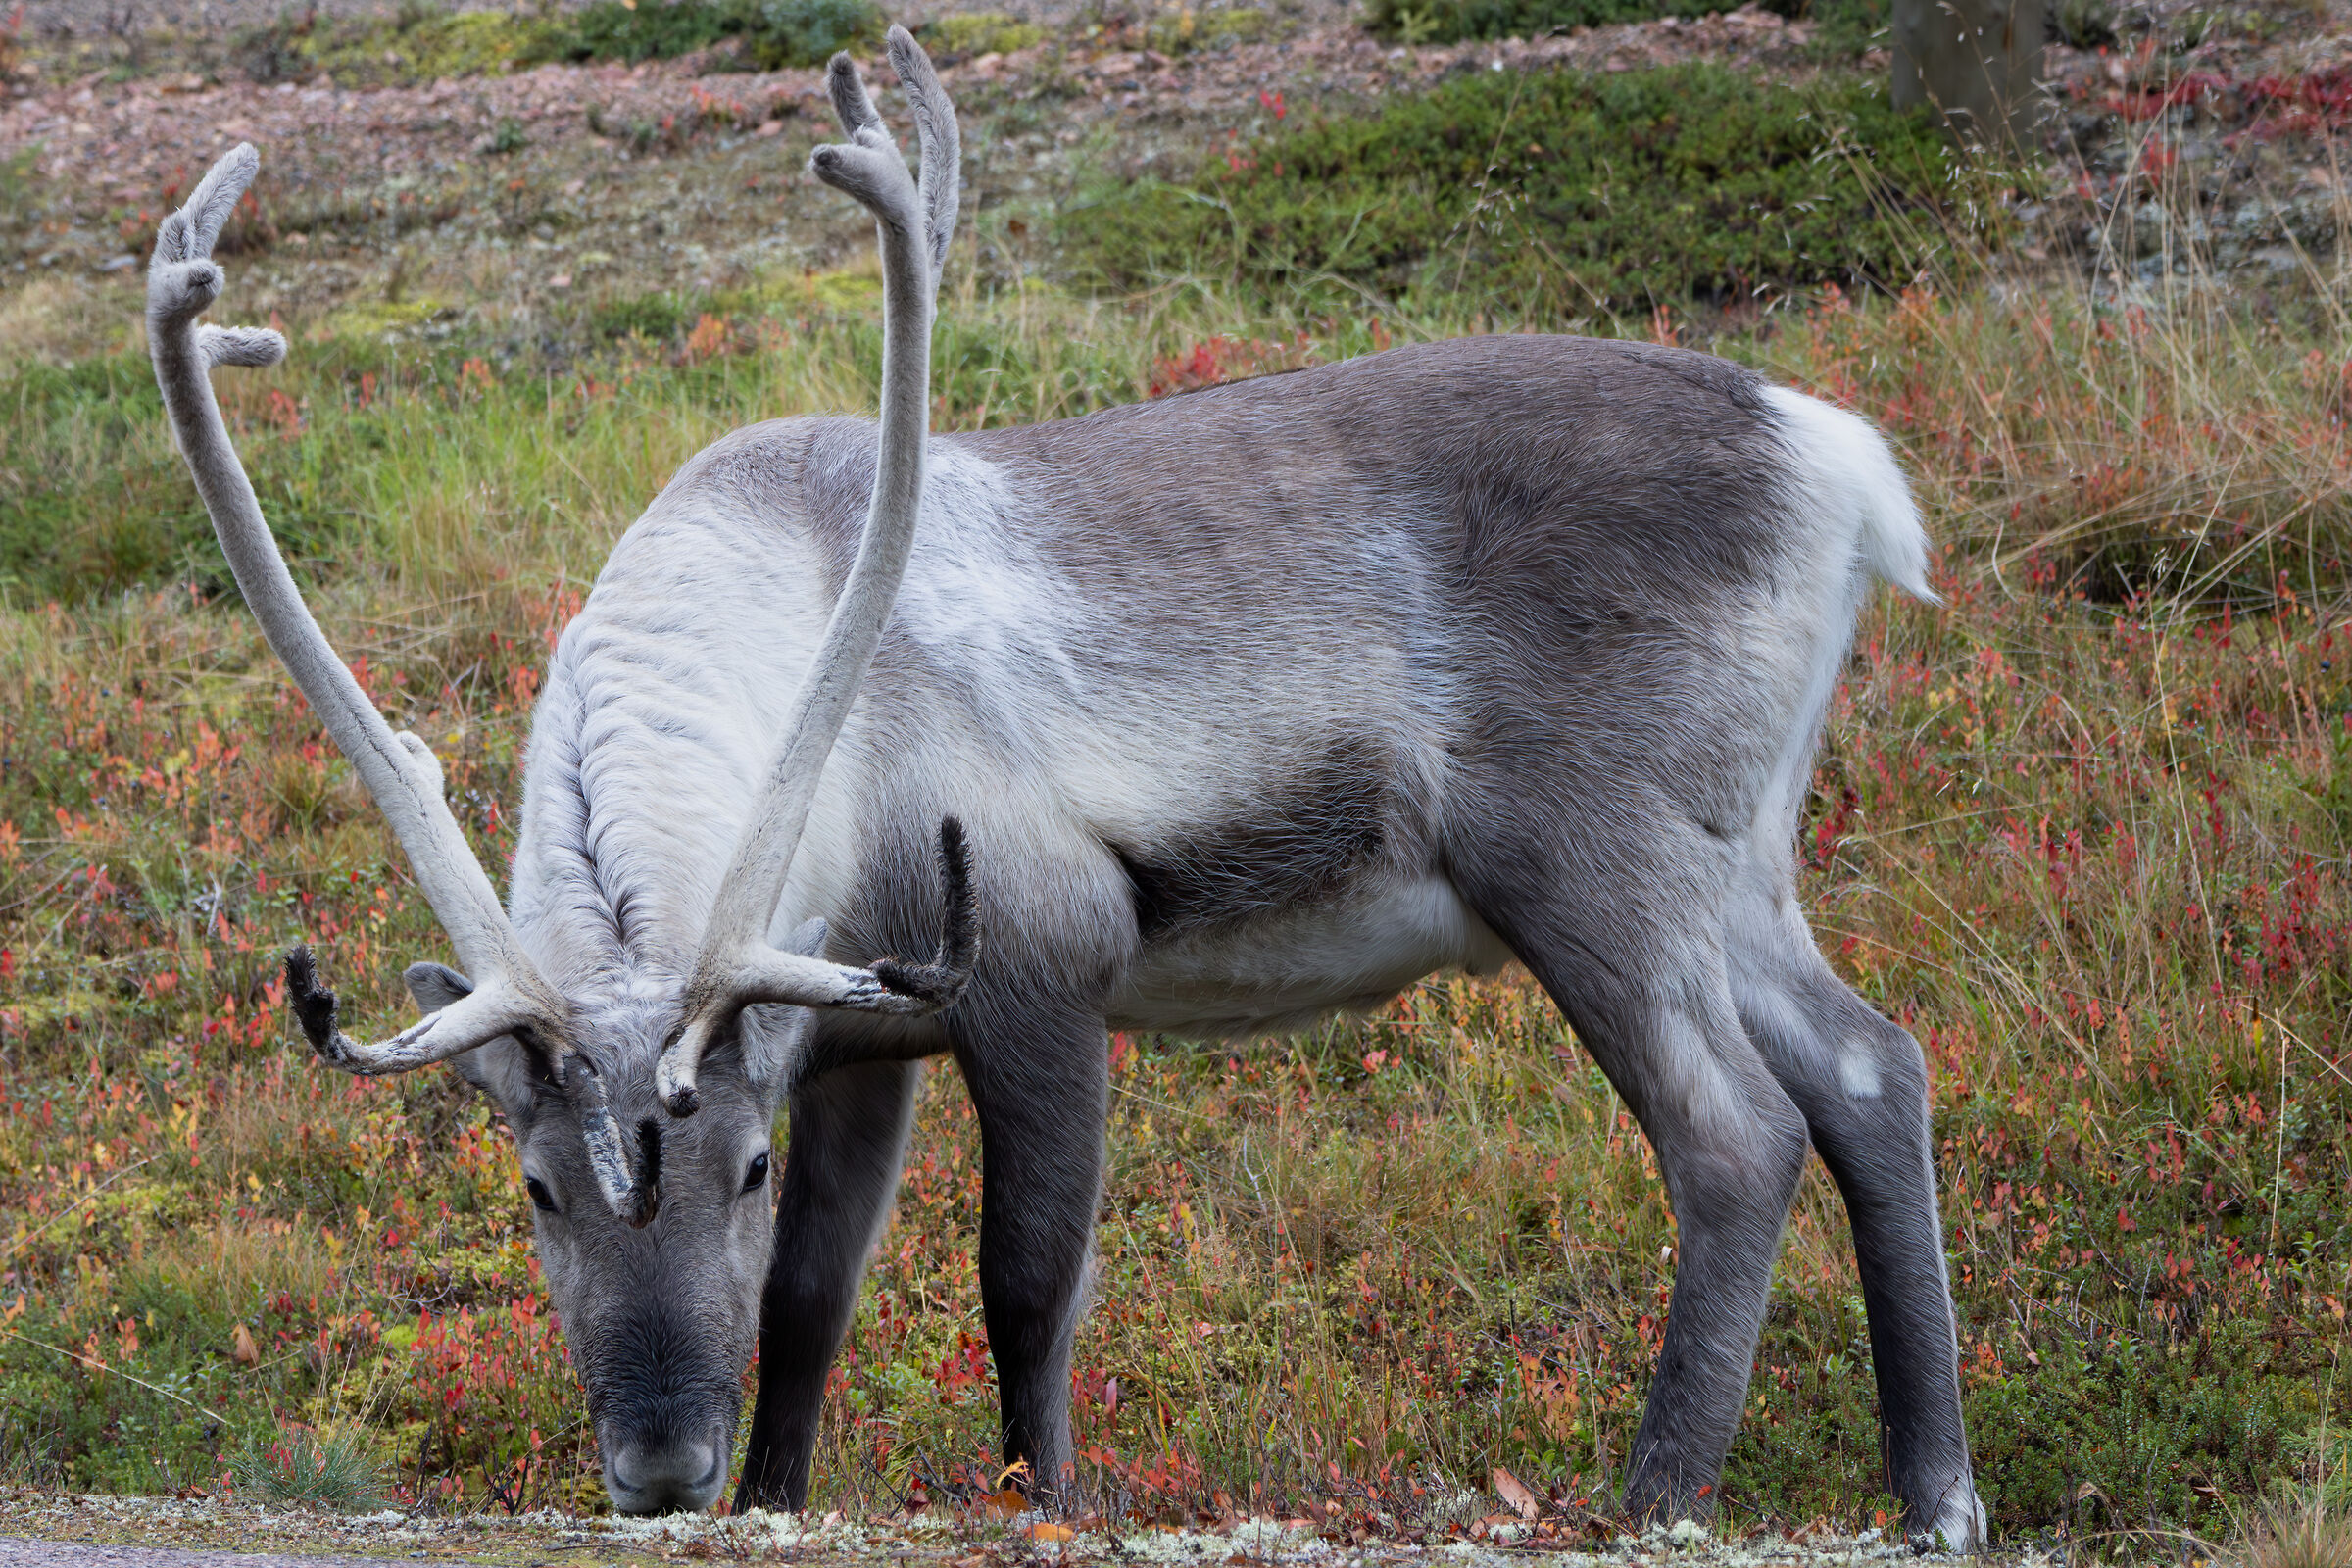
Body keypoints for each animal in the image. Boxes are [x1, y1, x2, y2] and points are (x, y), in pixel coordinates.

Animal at [145, 30, 1985, 1546]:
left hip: (1589, 856)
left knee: (1737, 1131)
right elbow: (810, 1307)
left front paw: (1047, 1500)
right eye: (534, 1186)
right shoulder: (855, 1033)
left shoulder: (1040, 960)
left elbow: (1025, 1282)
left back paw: (1657, 1497)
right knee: (1873, 1068)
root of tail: (1846, 469)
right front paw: (771, 1495)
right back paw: (1934, 1496)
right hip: (1741, 862)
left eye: (730, 1168)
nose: (657, 1470)